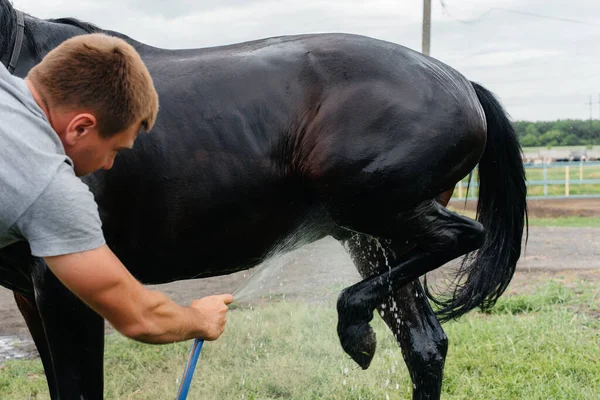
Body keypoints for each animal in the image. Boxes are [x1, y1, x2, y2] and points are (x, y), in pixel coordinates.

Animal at [0, 1, 524, 398]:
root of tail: (461, 82)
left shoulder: (64, 287)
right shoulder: (31, 294)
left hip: (374, 210)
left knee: (464, 236)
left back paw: (354, 326)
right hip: (374, 238)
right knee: (424, 345)